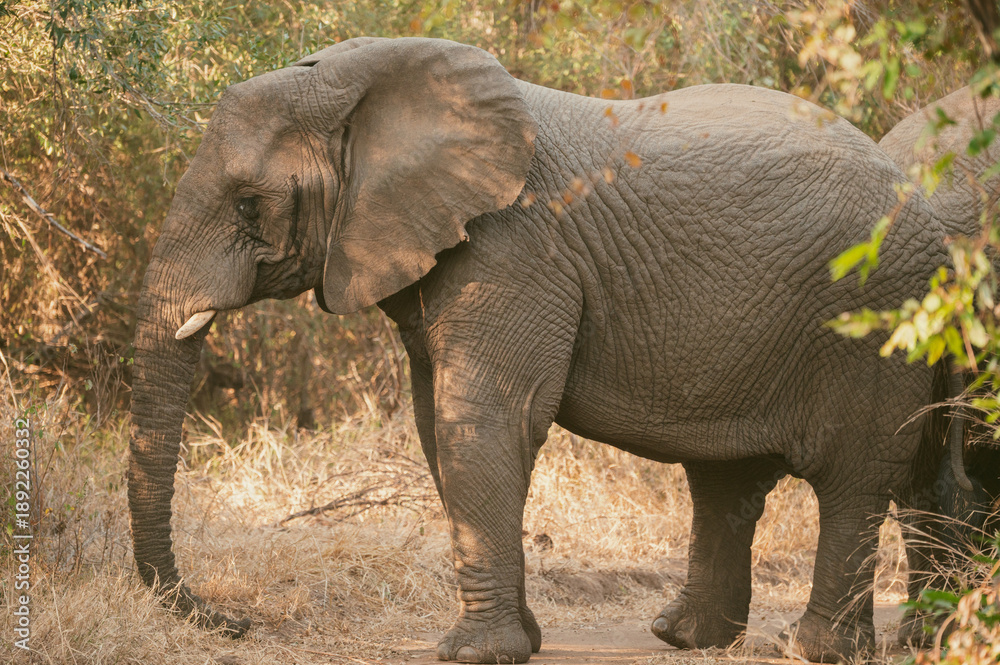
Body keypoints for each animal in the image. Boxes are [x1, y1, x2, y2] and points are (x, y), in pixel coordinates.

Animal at [127, 37, 954, 663]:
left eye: (248, 205)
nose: (232, 621)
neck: (362, 86)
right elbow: (439, 428)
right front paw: (519, 641)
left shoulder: (514, 248)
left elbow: (485, 421)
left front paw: (474, 653)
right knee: (734, 481)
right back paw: (685, 635)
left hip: (877, 318)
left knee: (854, 479)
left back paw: (813, 648)